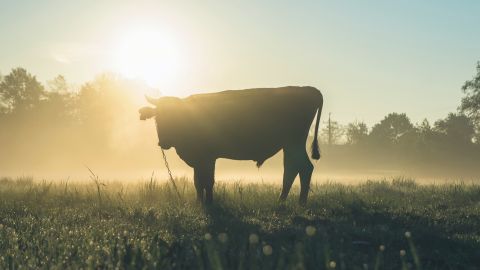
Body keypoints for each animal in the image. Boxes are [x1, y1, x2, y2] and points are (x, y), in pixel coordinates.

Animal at [141, 86, 324, 205]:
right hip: (290, 145)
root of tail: (308, 89)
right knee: (293, 169)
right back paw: (284, 201)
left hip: (294, 142)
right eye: (158, 117)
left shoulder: (208, 157)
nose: (163, 142)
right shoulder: (199, 160)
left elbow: (208, 181)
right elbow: (197, 181)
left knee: (303, 168)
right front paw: (199, 202)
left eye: (175, 115)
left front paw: (209, 203)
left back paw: (299, 203)